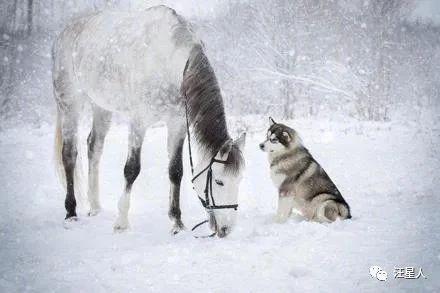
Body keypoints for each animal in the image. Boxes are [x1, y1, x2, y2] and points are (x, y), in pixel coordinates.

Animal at [53, 5, 246, 237]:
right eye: (219, 181)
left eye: (239, 180)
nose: (227, 229)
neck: (168, 61)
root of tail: (65, 31)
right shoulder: (138, 123)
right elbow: (131, 169)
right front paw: (121, 222)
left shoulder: (177, 124)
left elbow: (176, 171)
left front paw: (177, 223)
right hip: (69, 104)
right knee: (69, 155)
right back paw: (71, 212)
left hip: (101, 107)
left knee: (94, 147)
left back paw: (95, 207)